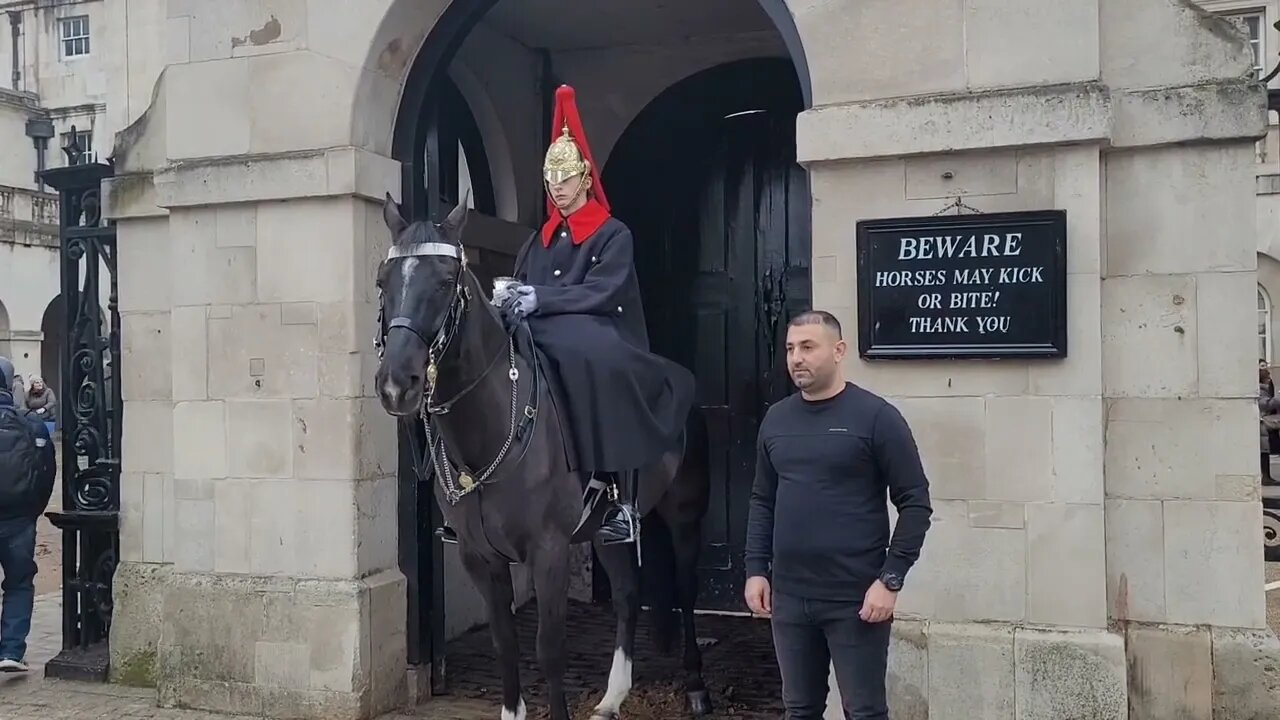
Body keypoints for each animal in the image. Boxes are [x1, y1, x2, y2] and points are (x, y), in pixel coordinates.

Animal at [373, 193, 716, 712]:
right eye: (383, 281)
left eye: (446, 281)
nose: (397, 384)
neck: (489, 435)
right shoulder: (479, 556)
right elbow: (505, 644)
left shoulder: (549, 551)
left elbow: (549, 649)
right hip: (604, 532)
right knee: (627, 595)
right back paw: (613, 697)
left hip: (683, 515)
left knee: (684, 586)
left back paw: (695, 685)